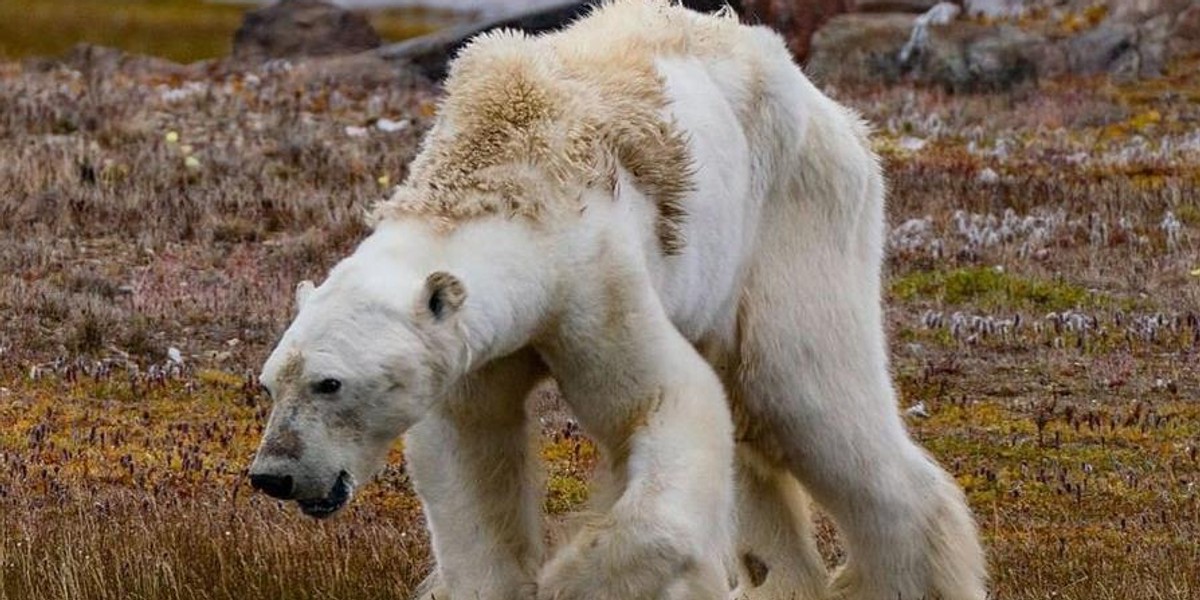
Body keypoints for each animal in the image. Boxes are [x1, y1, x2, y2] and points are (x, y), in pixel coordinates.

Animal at [246, 1, 984, 600]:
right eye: (270, 382)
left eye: (330, 383)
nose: (273, 475)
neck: (502, 173)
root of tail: (836, 113)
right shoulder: (475, 346)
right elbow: (470, 452)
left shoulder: (593, 280)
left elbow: (664, 404)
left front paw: (567, 580)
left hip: (793, 218)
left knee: (806, 394)